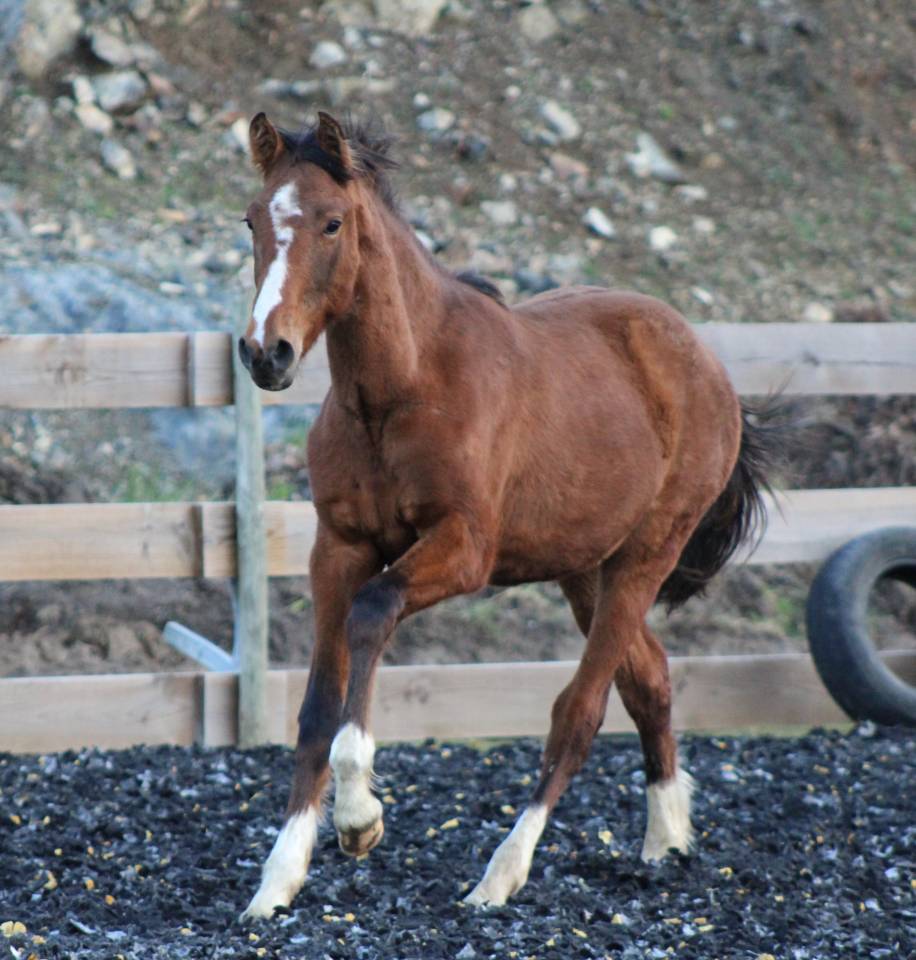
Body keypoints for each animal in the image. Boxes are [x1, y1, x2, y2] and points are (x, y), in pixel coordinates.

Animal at [237, 111, 774, 918]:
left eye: (331, 223)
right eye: (250, 222)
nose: (265, 353)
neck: (401, 394)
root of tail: (705, 361)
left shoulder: (463, 550)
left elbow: (374, 612)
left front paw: (361, 819)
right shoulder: (338, 547)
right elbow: (315, 710)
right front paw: (278, 880)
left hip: (646, 555)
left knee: (579, 713)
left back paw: (500, 876)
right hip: (587, 570)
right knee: (648, 680)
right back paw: (666, 840)